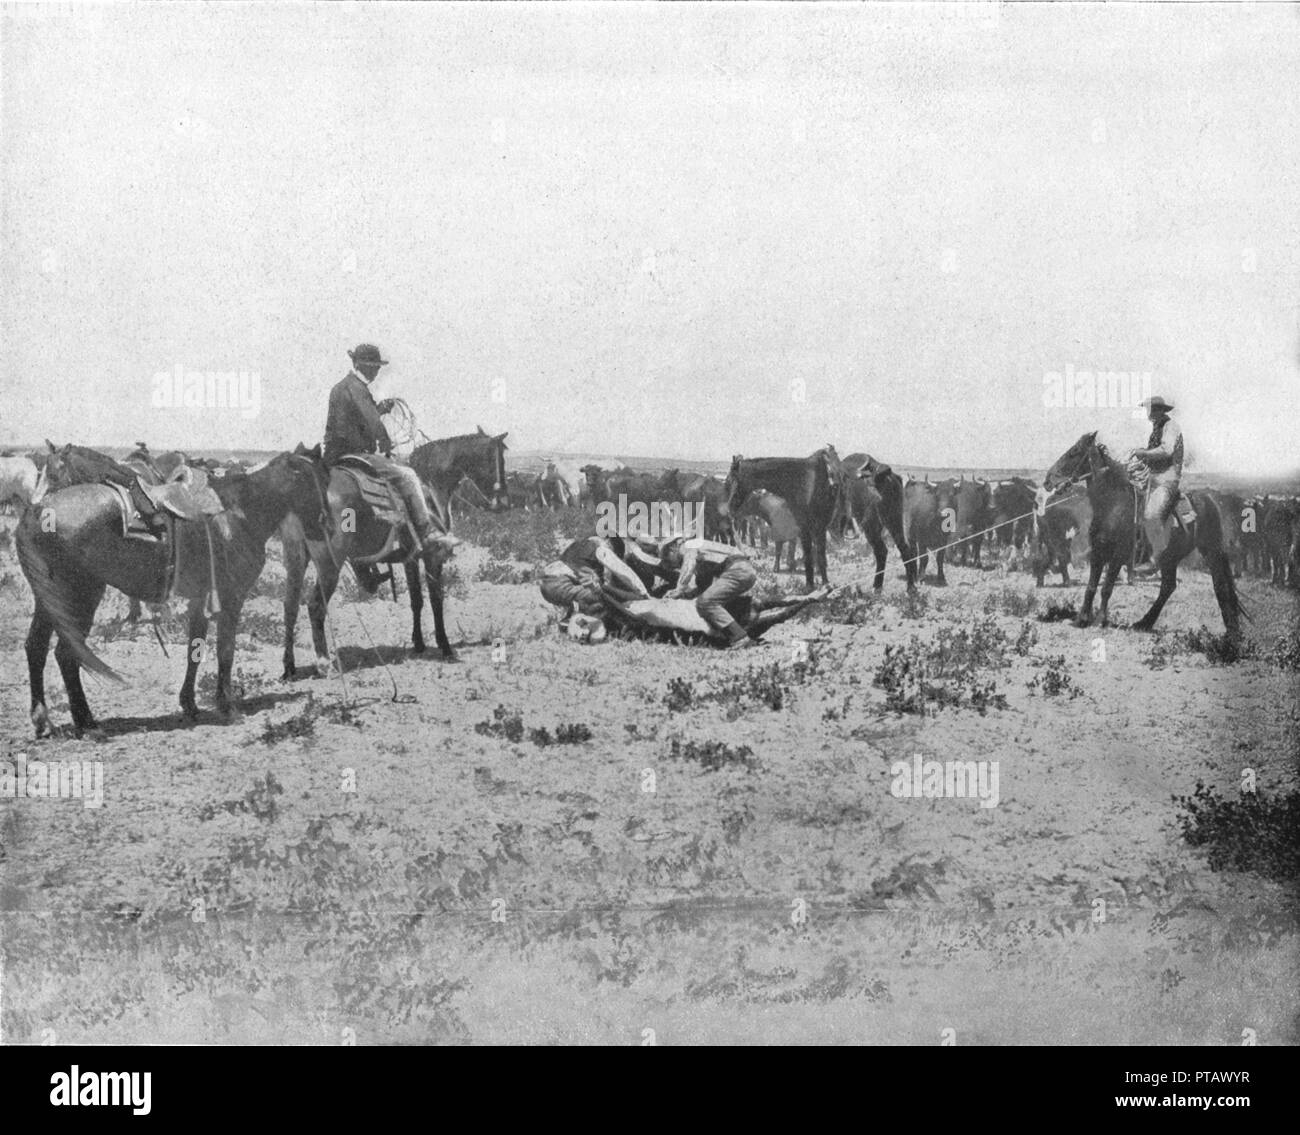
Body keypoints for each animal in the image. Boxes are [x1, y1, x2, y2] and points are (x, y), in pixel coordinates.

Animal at [17, 444, 330, 733]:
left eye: (326, 479)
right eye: (311, 481)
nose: (325, 524)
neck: (239, 513)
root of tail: (37, 513)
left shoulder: (200, 600)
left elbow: (195, 649)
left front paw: (189, 704)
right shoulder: (231, 599)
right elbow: (225, 652)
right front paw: (227, 707)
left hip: (50, 599)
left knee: (36, 647)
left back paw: (43, 720)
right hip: (80, 596)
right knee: (66, 654)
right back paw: (87, 723)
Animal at [282, 426, 509, 670]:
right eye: (497, 459)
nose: (503, 503)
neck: (430, 485)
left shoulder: (411, 557)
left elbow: (416, 599)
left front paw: (418, 643)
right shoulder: (433, 556)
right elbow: (436, 599)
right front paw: (445, 647)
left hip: (296, 559)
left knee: (290, 605)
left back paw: (289, 667)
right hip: (329, 565)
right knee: (315, 606)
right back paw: (324, 663)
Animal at [728, 447, 837, 590]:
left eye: (731, 479)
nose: (730, 507)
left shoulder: (809, 528)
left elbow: (808, 553)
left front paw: (815, 583)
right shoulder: (808, 529)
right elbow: (807, 552)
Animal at [1040, 429, 1242, 634]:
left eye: (1074, 452)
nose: (1047, 480)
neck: (1113, 505)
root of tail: (1211, 499)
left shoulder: (1119, 553)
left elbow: (1106, 587)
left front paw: (1099, 620)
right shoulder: (1098, 552)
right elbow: (1091, 586)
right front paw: (1081, 619)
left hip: (1211, 552)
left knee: (1220, 585)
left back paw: (1231, 631)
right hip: (1171, 557)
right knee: (1168, 587)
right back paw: (1144, 622)